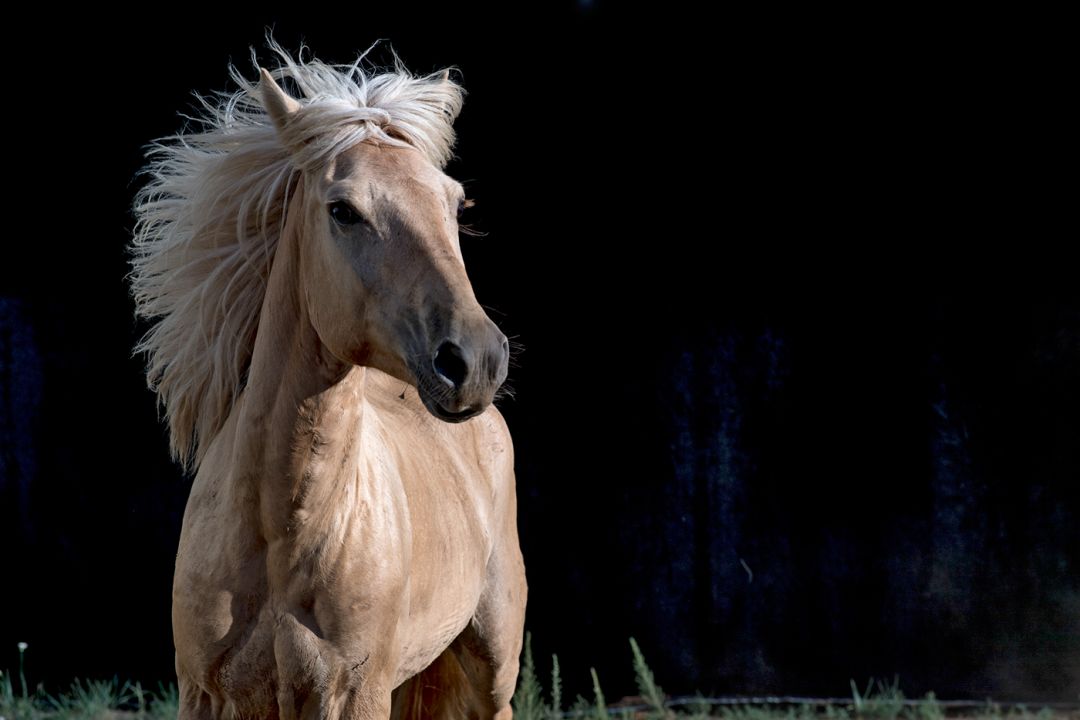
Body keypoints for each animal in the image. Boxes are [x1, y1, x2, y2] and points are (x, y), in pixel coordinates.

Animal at [130, 46, 527, 720]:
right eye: (343, 210)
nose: (474, 362)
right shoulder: (204, 693)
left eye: (454, 205)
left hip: (492, 669)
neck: (276, 532)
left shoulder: (352, 692)